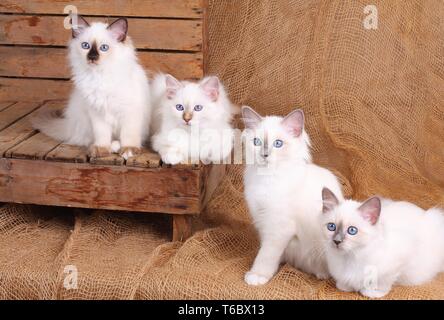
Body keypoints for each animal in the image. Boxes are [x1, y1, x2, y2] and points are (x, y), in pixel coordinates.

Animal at [32, 15, 151, 159]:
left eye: (104, 48)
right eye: (85, 46)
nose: (92, 57)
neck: (99, 76)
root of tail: (69, 125)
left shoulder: (129, 111)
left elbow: (128, 135)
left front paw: (129, 150)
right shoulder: (97, 112)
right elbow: (102, 134)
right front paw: (102, 149)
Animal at [239, 107, 344, 284]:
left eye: (278, 144)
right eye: (257, 142)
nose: (265, 155)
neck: (267, 179)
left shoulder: (279, 227)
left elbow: (266, 254)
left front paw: (258, 275)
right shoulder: (262, 220)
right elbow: (268, 250)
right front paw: (275, 266)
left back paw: (321, 273)